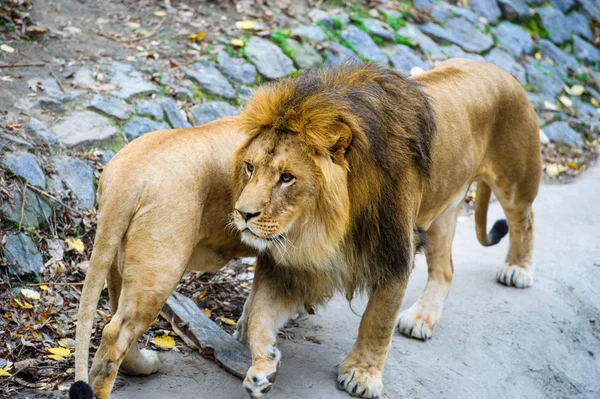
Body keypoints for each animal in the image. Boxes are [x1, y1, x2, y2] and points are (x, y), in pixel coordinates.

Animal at [68, 119, 255, 399]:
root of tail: (127, 176)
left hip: (120, 259)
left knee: (117, 318)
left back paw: (144, 364)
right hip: (160, 268)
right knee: (116, 334)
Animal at [232, 60, 540, 399]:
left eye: (287, 177)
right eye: (250, 167)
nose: (242, 213)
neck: (320, 227)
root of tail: (499, 68)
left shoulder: (394, 253)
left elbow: (377, 321)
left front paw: (362, 375)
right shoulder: (290, 265)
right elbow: (260, 313)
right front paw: (263, 364)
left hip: (515, 182)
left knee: (525, 220)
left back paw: (518, 269)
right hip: (443, 210)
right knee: (445, 269)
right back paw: (421, 319)